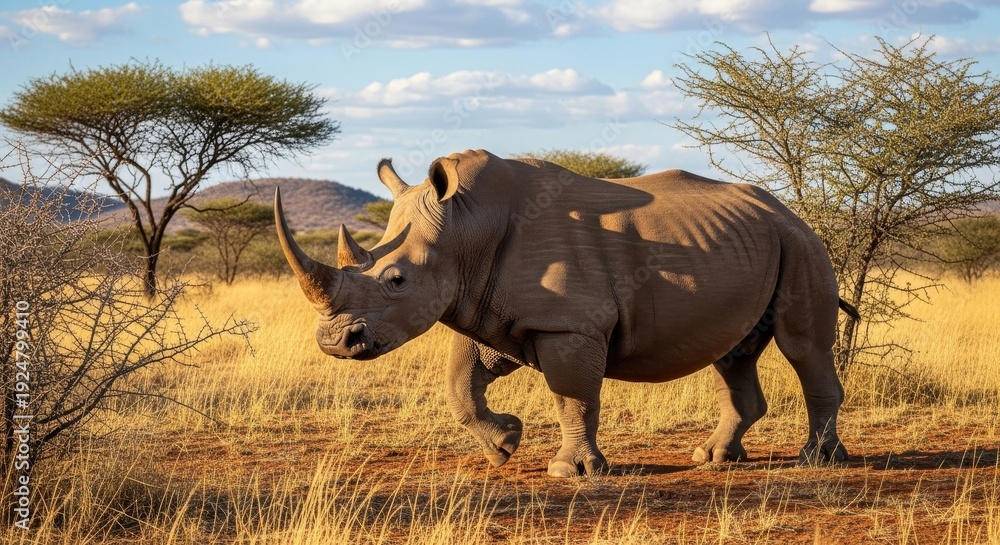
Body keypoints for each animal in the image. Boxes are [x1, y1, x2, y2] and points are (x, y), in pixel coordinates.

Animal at [274, 149, 854, 477]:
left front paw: (570, 472)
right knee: (733, 354)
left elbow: (572, 396)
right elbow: (460, 383)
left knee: (803, 347)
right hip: (754, 241)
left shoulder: (568, 323)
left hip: (800, 242)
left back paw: (818, 460)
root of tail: (784, 209)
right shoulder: (489, 308)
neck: (464, 228)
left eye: (396, 281)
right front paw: (504, 445)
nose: (334, 343)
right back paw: (713, 459)